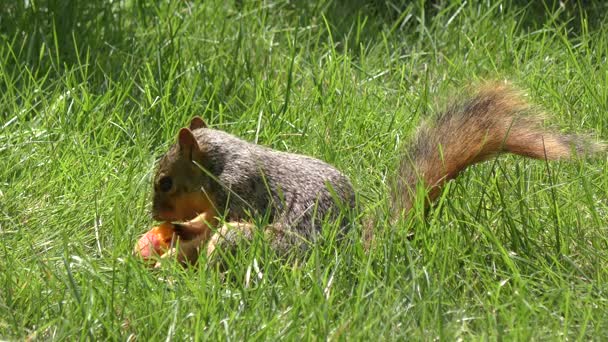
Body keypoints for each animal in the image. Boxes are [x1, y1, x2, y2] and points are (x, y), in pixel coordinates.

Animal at [146, 82, 604, 264]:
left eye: (165, 182)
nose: (155, 216)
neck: (219, 165)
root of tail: (347, 253)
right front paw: (179, 230)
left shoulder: (238, 192)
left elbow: (215, 222)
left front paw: (181, 234)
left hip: (256, 243)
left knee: (228, 244)